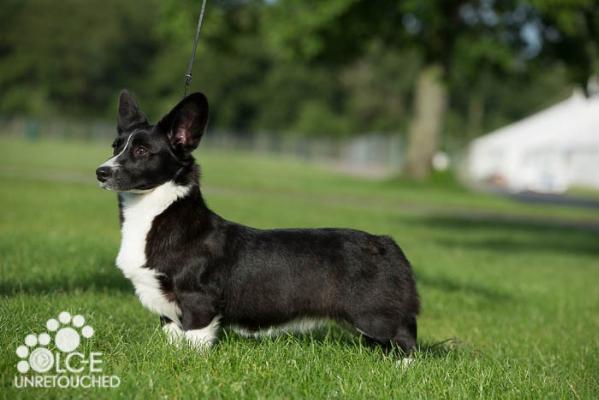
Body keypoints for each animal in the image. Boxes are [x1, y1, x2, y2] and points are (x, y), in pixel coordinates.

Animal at [96, 91, 420, 356]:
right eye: (115, 146)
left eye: (141, 151)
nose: (100, 172)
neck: (152, 214)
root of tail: (385, 242)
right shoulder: (167, 308)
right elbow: (175, 338)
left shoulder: (198, 301)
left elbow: (196, 340)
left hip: (374, 314)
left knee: (406, 340)